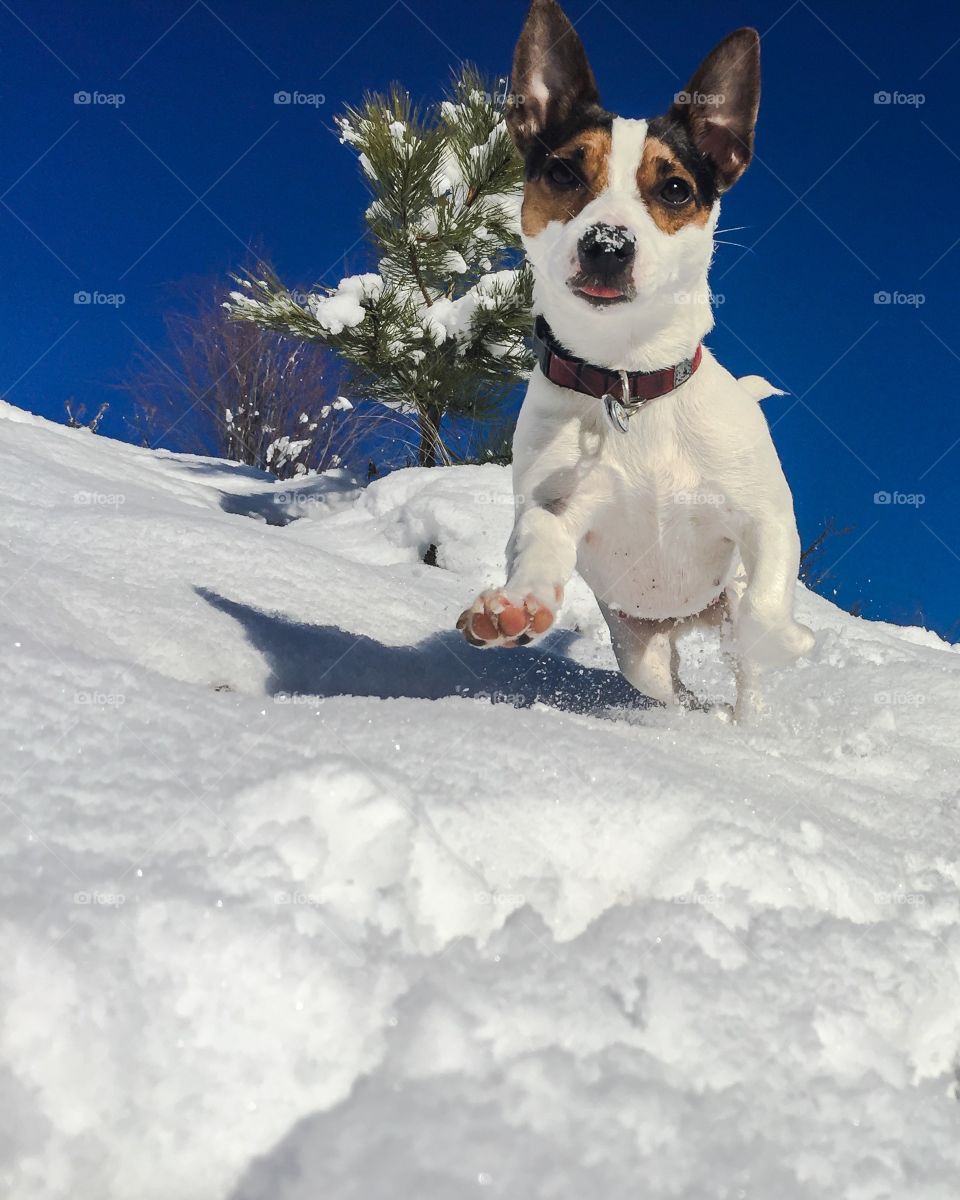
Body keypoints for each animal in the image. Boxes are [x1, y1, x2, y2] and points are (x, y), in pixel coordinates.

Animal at [453, 0, 816, 715]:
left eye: (674, 188)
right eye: (563, 173)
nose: (607, 244)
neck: (627, 383)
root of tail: (684, 620)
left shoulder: (766, 518)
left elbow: (764, 610)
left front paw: (792, 638)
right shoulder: (558, 503)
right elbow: (539, 541)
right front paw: (516, 606)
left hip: (720, 615)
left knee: (743, 657)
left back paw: (743, 713)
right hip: (639, 650)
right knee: (665, 685)